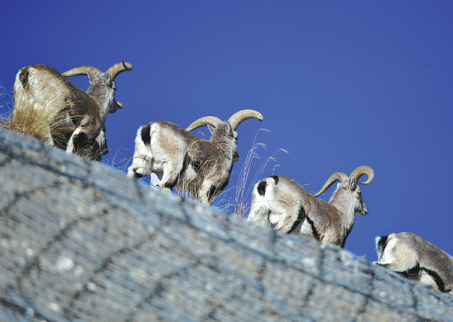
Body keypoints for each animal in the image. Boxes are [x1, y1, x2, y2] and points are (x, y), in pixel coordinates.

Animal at [126, 109, 262, 205]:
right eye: (237, 137)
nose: (237, 157)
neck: (221, 152)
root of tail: (151, 128)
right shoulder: (206, 187)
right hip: (172, 166)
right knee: (165, 186)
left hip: (147, 166)